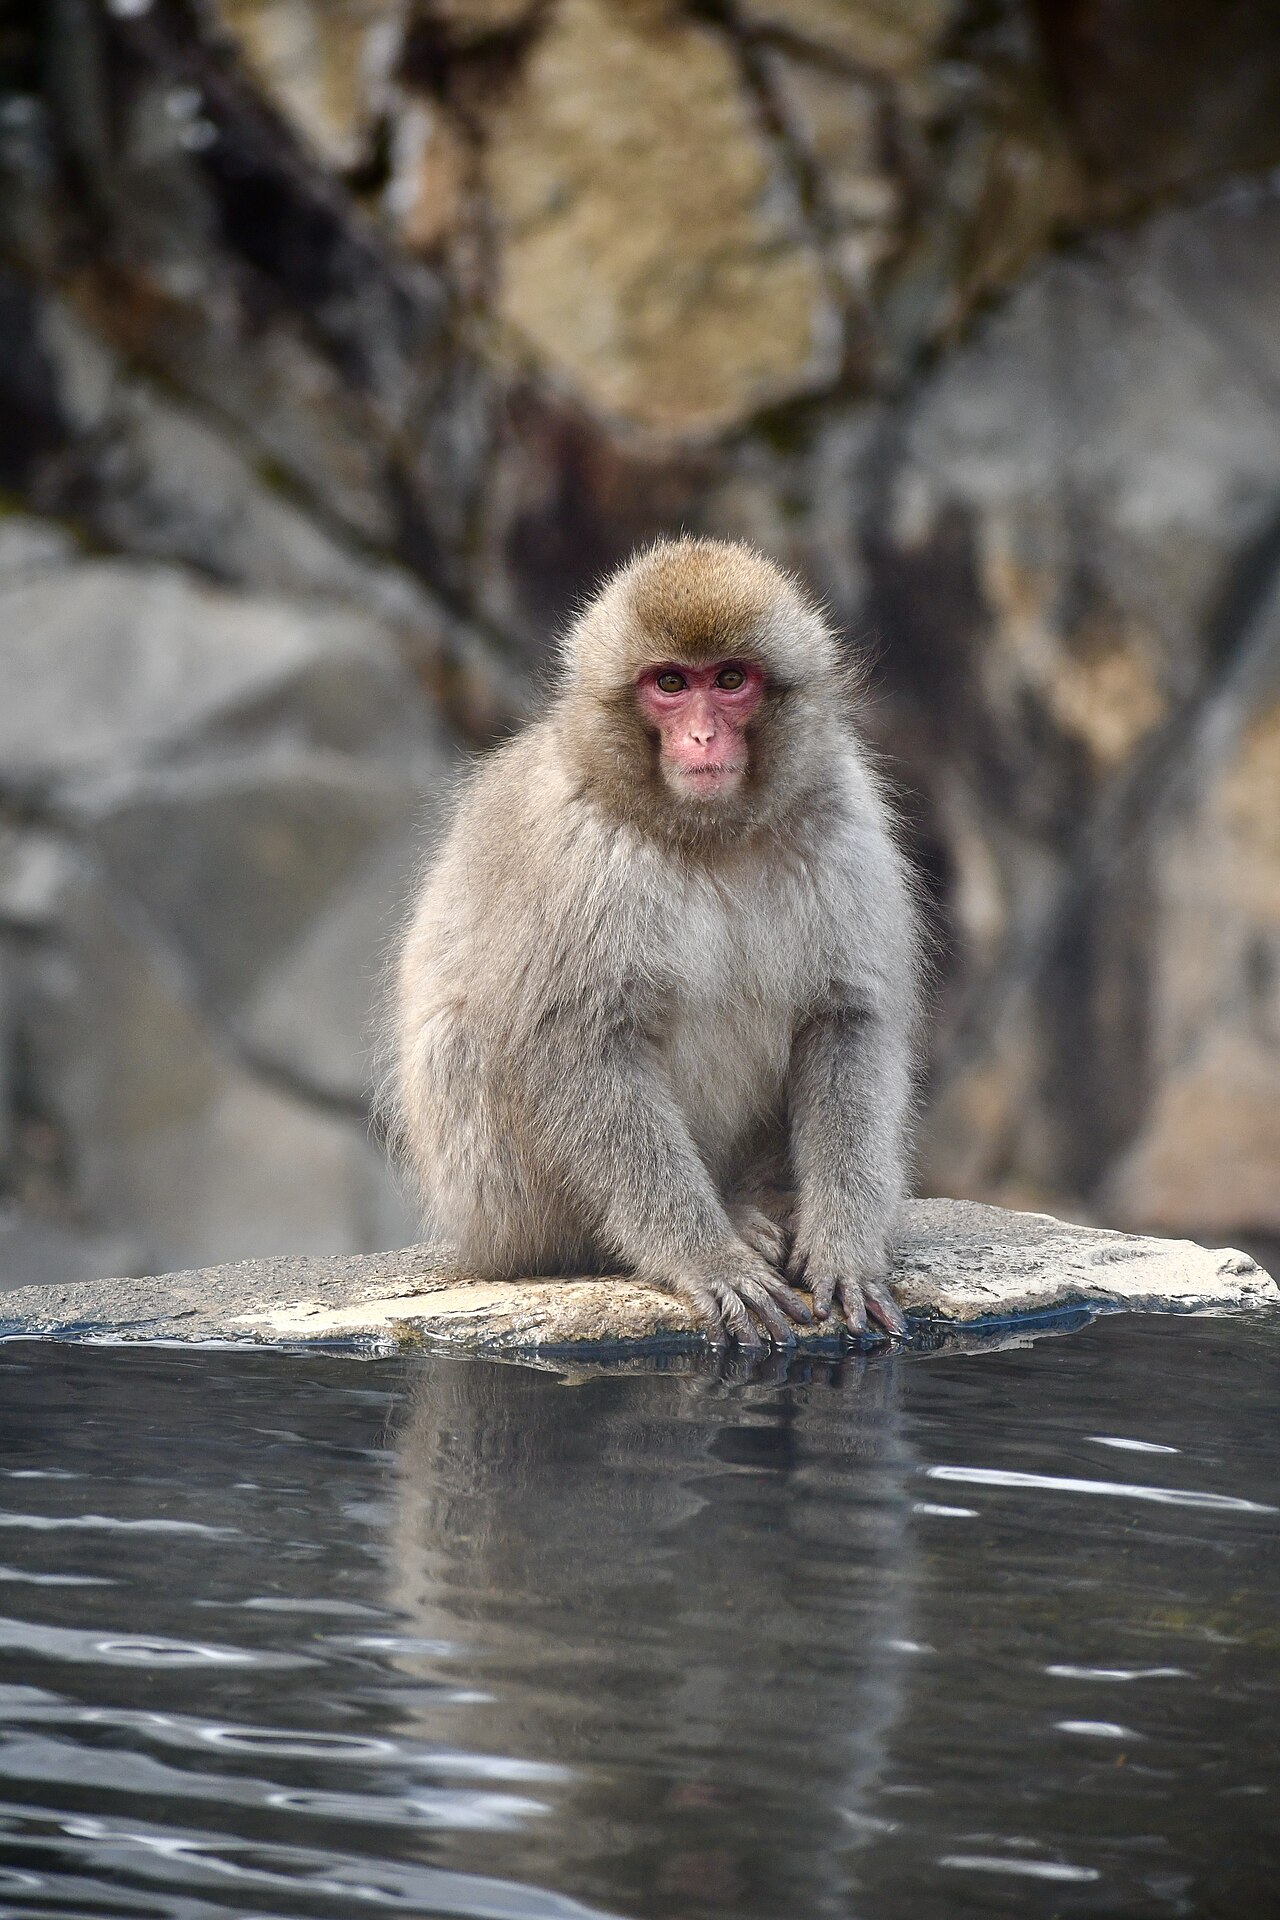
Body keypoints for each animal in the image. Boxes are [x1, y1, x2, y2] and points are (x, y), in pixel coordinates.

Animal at [388, 536, 920, 1347]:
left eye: (730, 679)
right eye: (669, 683)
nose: (701, 736)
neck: (709, 836)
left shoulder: (841, 816)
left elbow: (845, 1019)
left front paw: (844, 1245)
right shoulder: (575, 848)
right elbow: (577, 1046)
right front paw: (706, 1258)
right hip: (495, 1211)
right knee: (463, 1043)